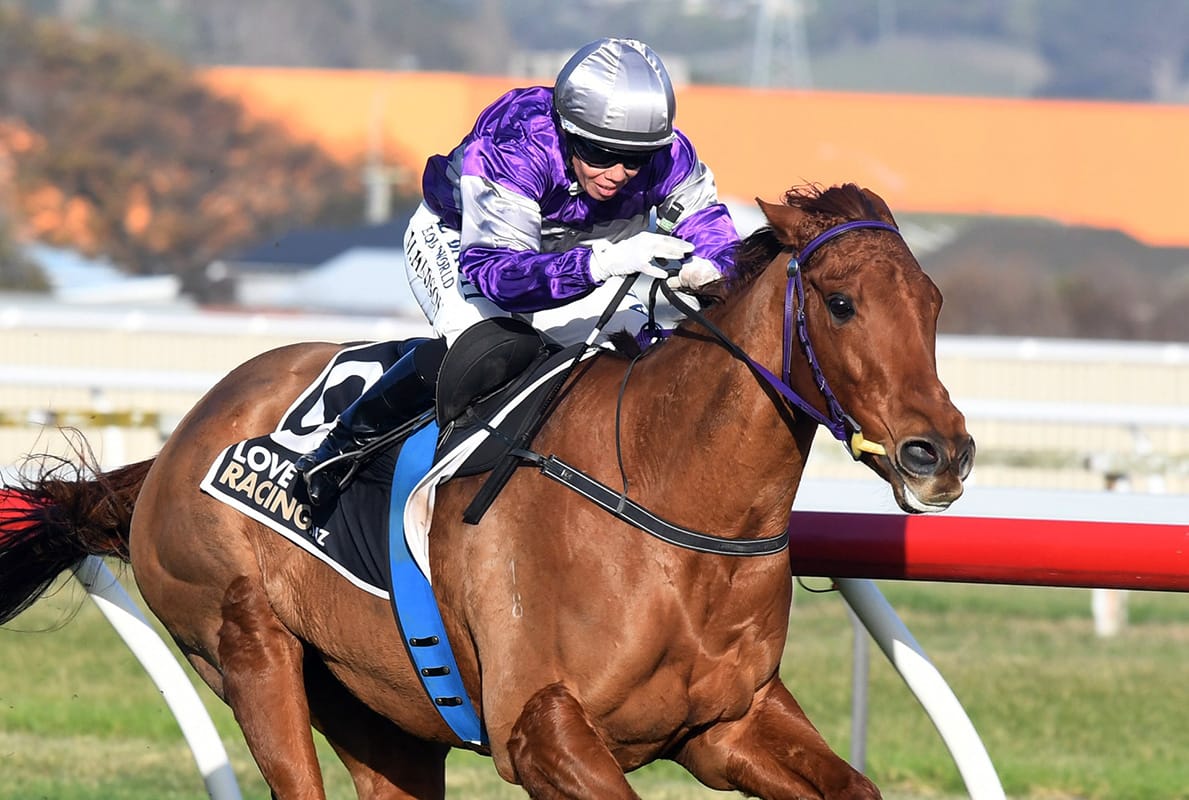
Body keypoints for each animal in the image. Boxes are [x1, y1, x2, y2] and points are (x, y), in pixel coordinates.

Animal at [0, 183, 973, 799]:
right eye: (840, 303)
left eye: (932, 302)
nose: (941, 453)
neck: (668, 501)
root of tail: (173, 448)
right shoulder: (540, 732)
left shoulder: (724, 727)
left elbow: (850, 786)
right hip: (249, 649)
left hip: (377, 706)